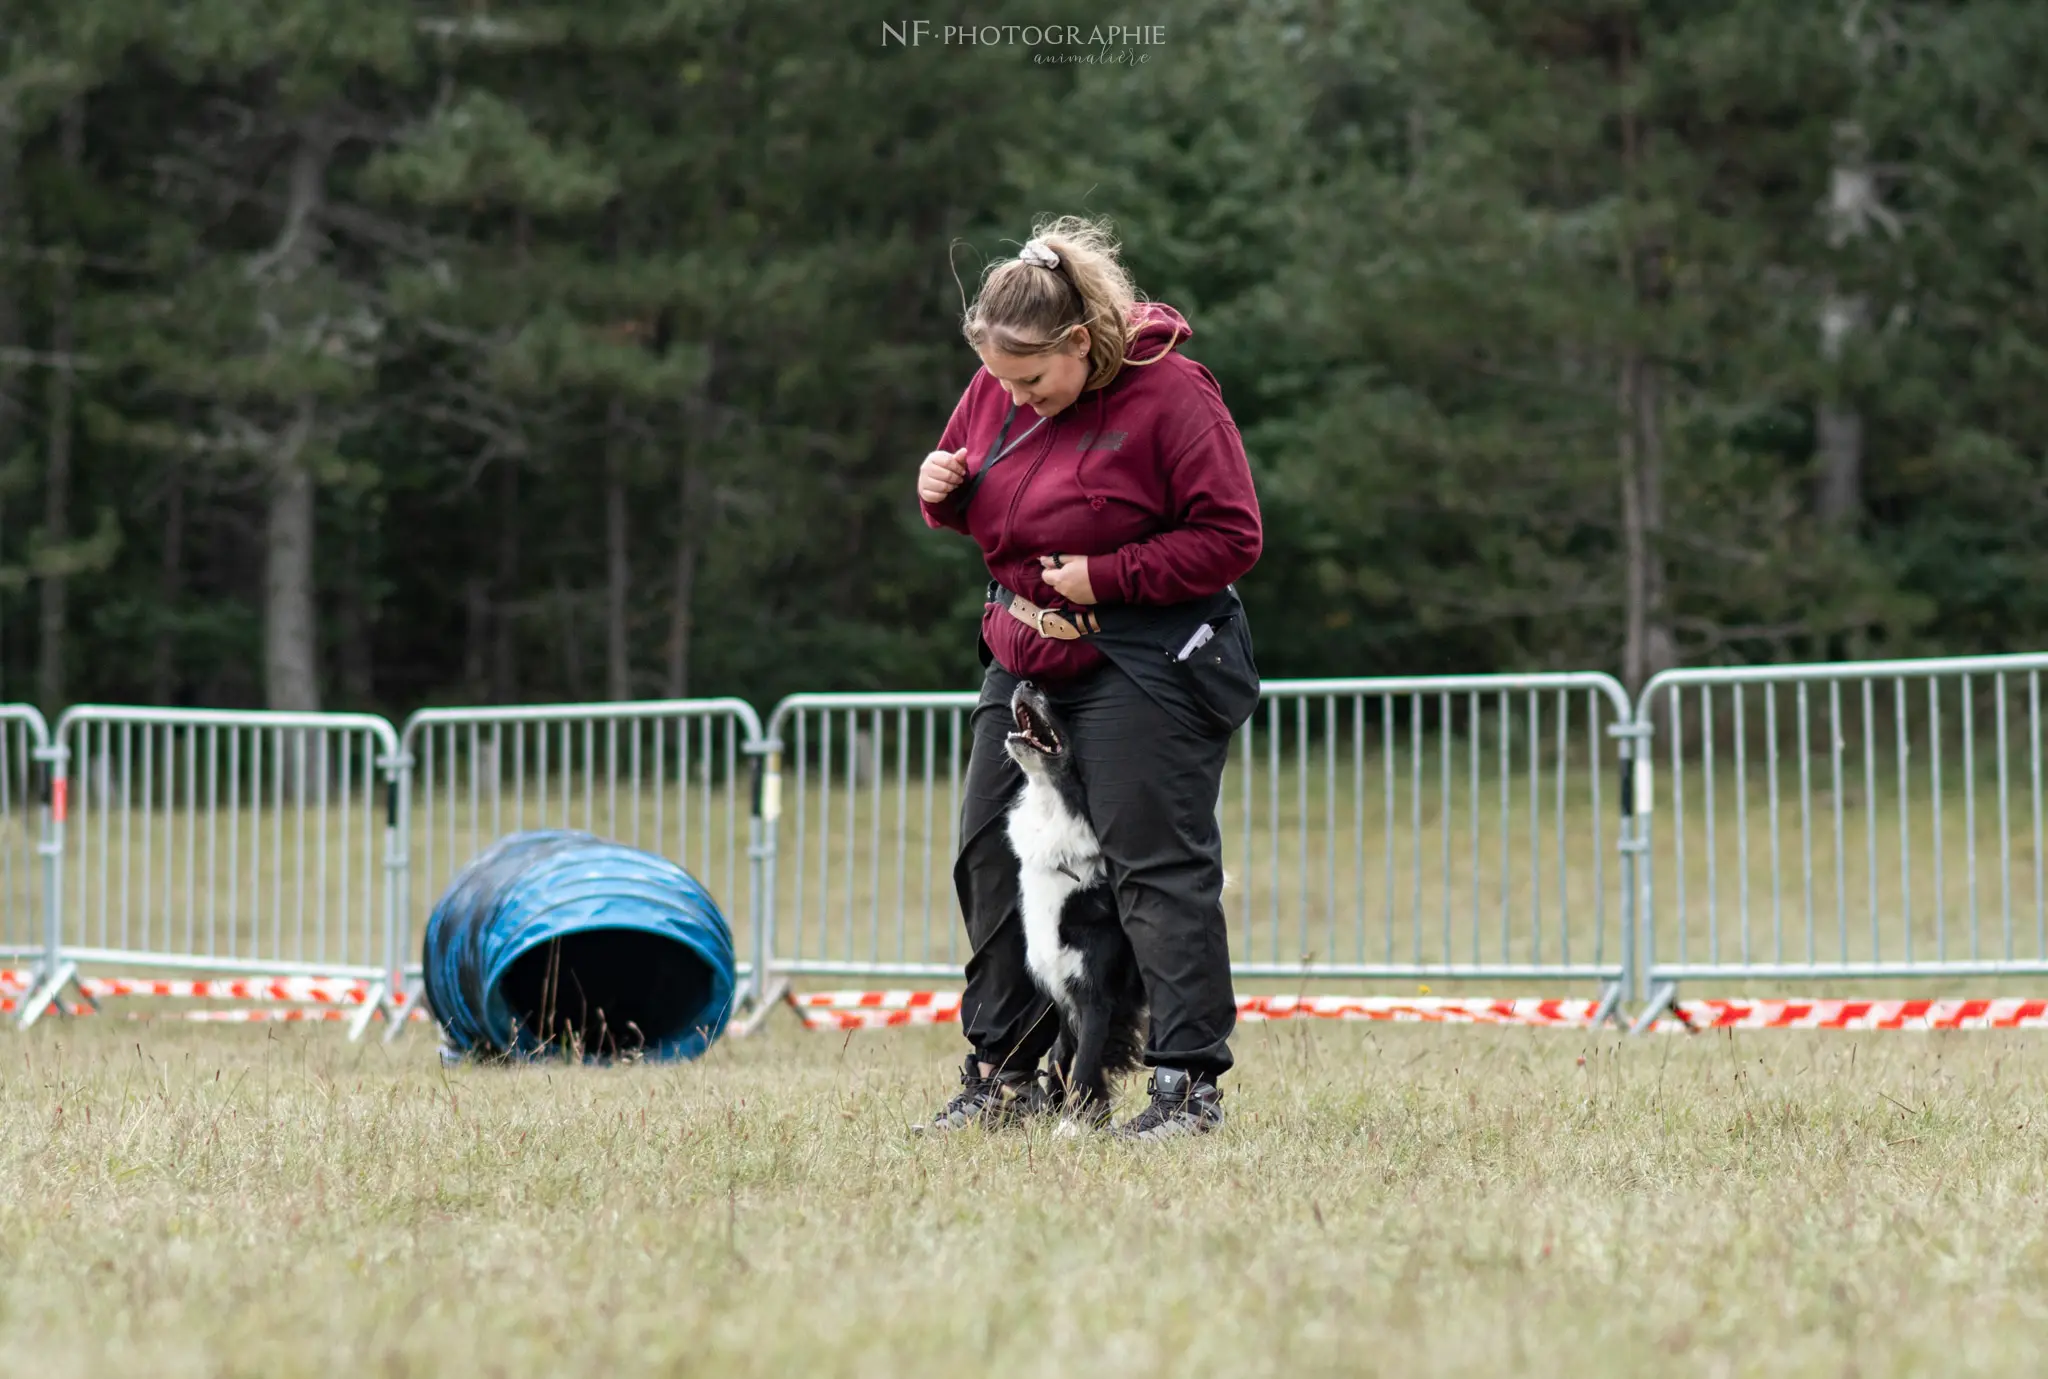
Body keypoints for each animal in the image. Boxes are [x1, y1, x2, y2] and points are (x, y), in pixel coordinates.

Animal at [1007, 676, 1155, 1114]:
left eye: (1065, 708)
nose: (1025, 681)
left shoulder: (1096, 995)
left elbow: (1085, 1068)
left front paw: (1072, 1123)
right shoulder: (1061, 988)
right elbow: (1059, 1057)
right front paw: (1052, 1111)